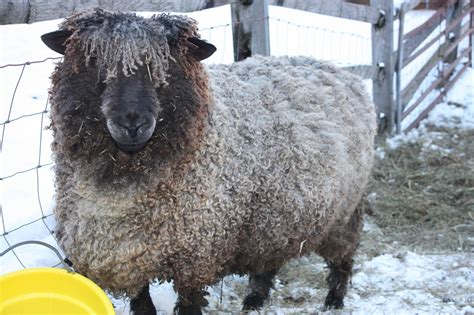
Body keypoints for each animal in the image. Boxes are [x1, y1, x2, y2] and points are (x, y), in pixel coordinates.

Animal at [40, 8, 376, 314]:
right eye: (94, 62)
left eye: (166, 68)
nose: (132, 124)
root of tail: (337, 69)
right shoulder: (130, 259)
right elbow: (143, 305)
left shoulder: (196, 254)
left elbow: (189, 305)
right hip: (275, 216)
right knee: (268, 259)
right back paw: (254, 300)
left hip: (344, 211)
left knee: (343, 259)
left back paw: (334, 300)